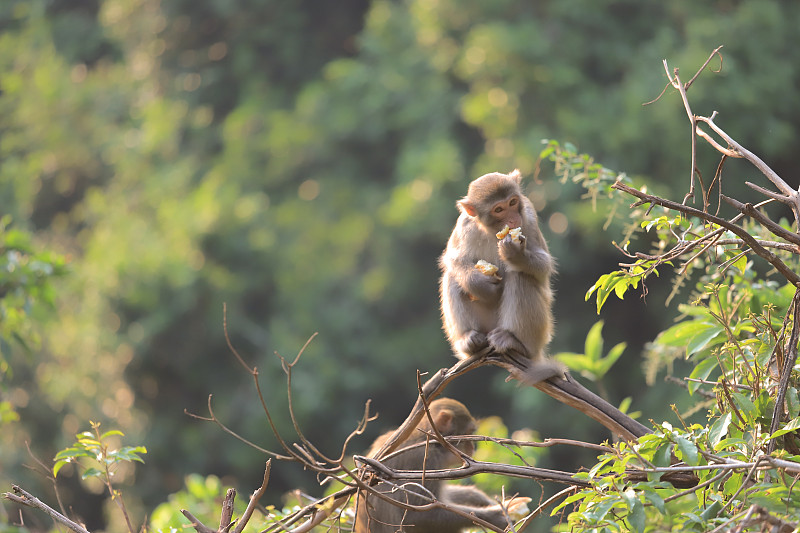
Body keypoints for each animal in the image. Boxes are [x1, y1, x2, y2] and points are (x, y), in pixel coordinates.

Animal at [354, 396, 528, 532]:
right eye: (469, 433)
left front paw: (477, 496)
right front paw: (497, 515)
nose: (472, 446)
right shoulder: (423, 460)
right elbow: (417, 516)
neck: (425, 439)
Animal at [440, 170, 564, 382]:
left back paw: (515, 342)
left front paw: (516, 255)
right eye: (498, 209)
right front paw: (480, 284)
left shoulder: (529, 216)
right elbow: (453, 259)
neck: (492, 231)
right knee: (452, 278)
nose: (513, 220)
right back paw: (468, 340)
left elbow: (543, 266)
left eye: (513, 202)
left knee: (520, 276)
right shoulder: (464, 225)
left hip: (539, 332)